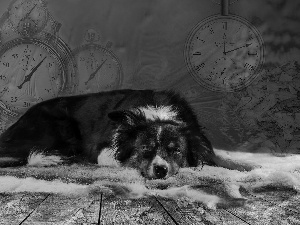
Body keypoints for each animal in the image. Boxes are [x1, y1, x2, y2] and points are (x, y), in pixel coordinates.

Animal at [0, 89, 217, 179]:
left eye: (177, 151)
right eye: (145, 148)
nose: (160, 170)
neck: (157, 113)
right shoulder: (100, 147)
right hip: (61, 130)